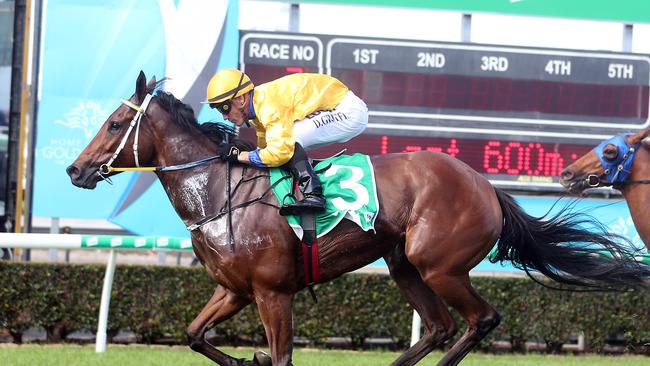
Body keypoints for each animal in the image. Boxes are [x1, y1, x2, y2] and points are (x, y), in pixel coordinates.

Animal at [67, 72, 648, 366]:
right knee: (438, 326)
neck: (217, 191)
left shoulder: (273, 293)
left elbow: (281, 358)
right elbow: (192, 333)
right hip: (404, 264)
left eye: (115, 122)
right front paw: (241, 360)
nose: (75, 169)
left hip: (438, 265)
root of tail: (486, 184)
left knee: (479, 320)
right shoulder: (234, 290)